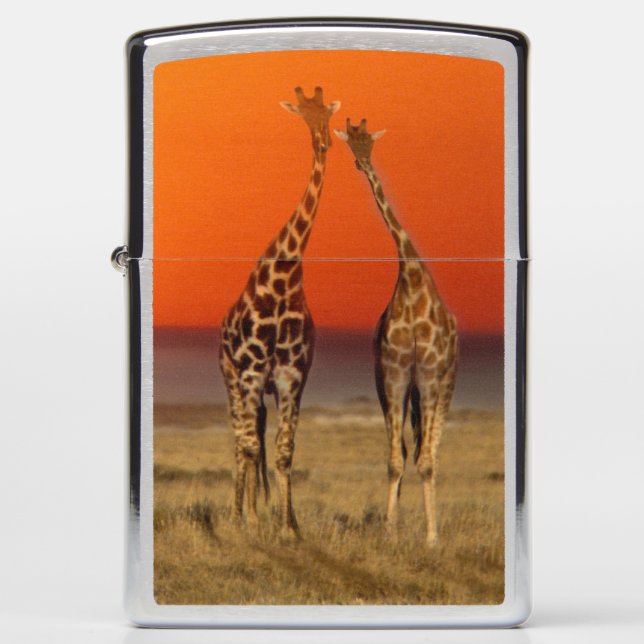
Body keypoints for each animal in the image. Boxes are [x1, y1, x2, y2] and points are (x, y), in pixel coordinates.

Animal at [219, 87, 340, 537]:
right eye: (304, 119)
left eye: (327, 117)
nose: (324, 142)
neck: (285, 281)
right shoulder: (252, 374)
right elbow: (252, 448)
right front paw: (246, 522)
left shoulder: (291, 378)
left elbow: (285, 451)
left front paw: (290, 527)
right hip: (232, 379)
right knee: (240, 442)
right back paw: (239, 515)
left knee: (253, 437)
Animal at [334, 119, 458, 546]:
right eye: (350, 144)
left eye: (369, 143)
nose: (362, 163)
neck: (411, 279)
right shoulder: (393, 374)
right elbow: (394, 460)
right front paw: (391, 530)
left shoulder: (430, 376)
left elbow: (426, 461)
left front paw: (432, 537)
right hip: (405, 388)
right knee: (408, 450)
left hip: (443, 384)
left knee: (431, 451)